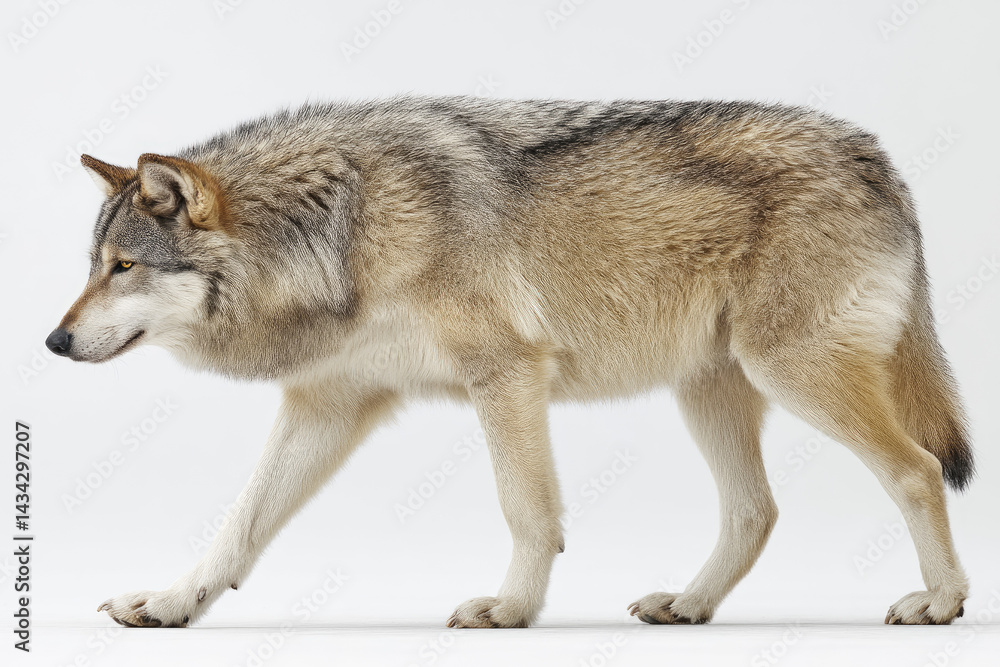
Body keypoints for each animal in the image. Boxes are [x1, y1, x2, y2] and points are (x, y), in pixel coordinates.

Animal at [47, 97, 973, 628]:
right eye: (89, 267)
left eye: (123, 267)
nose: (52, 343)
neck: (339, 237)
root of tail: (881, 157)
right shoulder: (328, 405)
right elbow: (238, 526)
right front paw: (171, 603)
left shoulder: (507, 372)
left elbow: (527, 510)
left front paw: (511, 608)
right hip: (708, 389)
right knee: (757, 510)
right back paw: (689, 604)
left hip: (792, 374)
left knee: (919, 469)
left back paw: (941, 600)